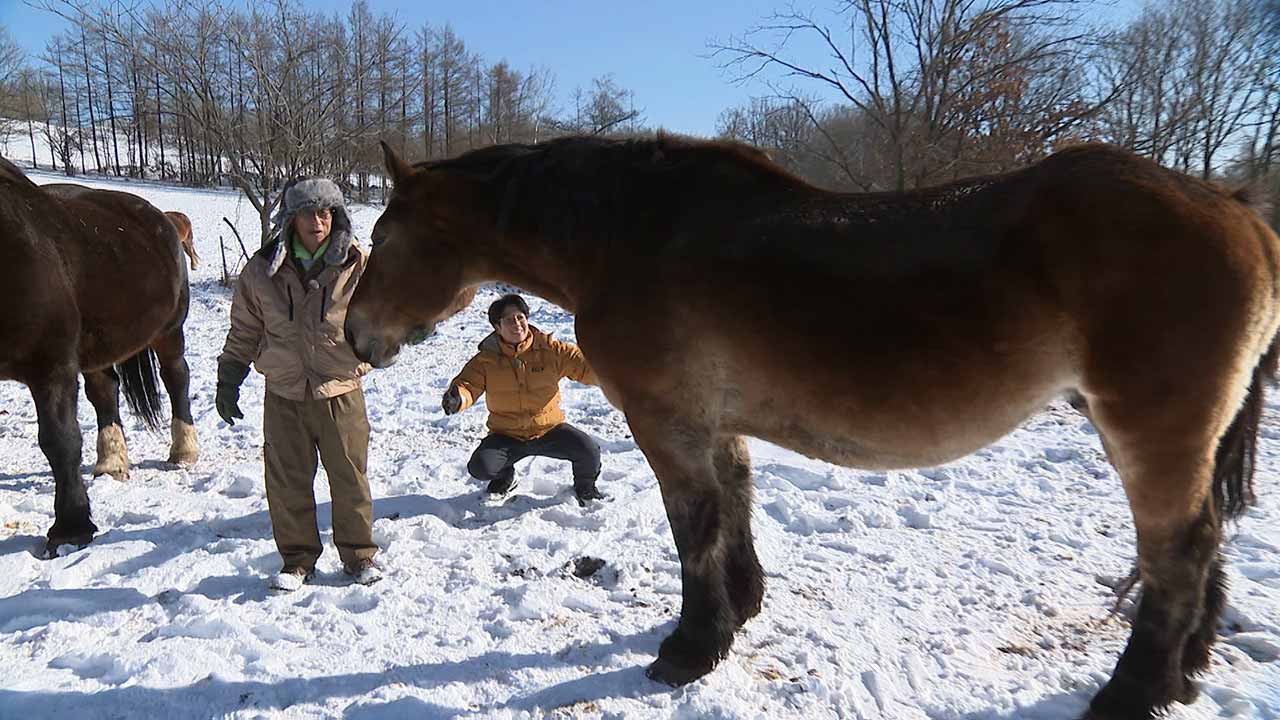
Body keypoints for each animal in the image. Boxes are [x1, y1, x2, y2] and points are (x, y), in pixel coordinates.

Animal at [0, 155, 199, 548]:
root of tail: (162, 218)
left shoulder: (51, 366)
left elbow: (60, 441)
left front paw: (71, 528)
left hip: (169, 332)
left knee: (176, 378)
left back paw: (183, 450)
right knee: (105, 392)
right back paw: (111, 463)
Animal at [343, 135, 1280, 717]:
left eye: (383, 239)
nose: (355, 338)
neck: (631, 237)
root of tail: (1237, 208)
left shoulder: (668, 427)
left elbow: (694, 530)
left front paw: (691, 649)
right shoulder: (717, 426)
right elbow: (735, 513)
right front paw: (743, 612)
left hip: (1151, 437)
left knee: (1178, 555)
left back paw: (1132, 694)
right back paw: (1183, 676)